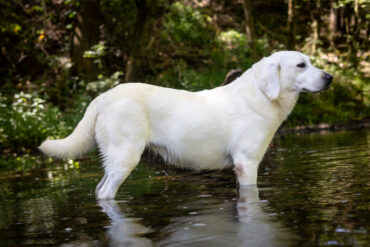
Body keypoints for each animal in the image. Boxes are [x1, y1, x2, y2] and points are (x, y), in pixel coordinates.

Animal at [39, 51, 332, 200]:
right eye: (301, 65)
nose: (330, 77)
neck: (261, 95)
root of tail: (102, 97)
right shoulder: (246, 163)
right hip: (126, 156)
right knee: (105, 192)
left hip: (114, 158)